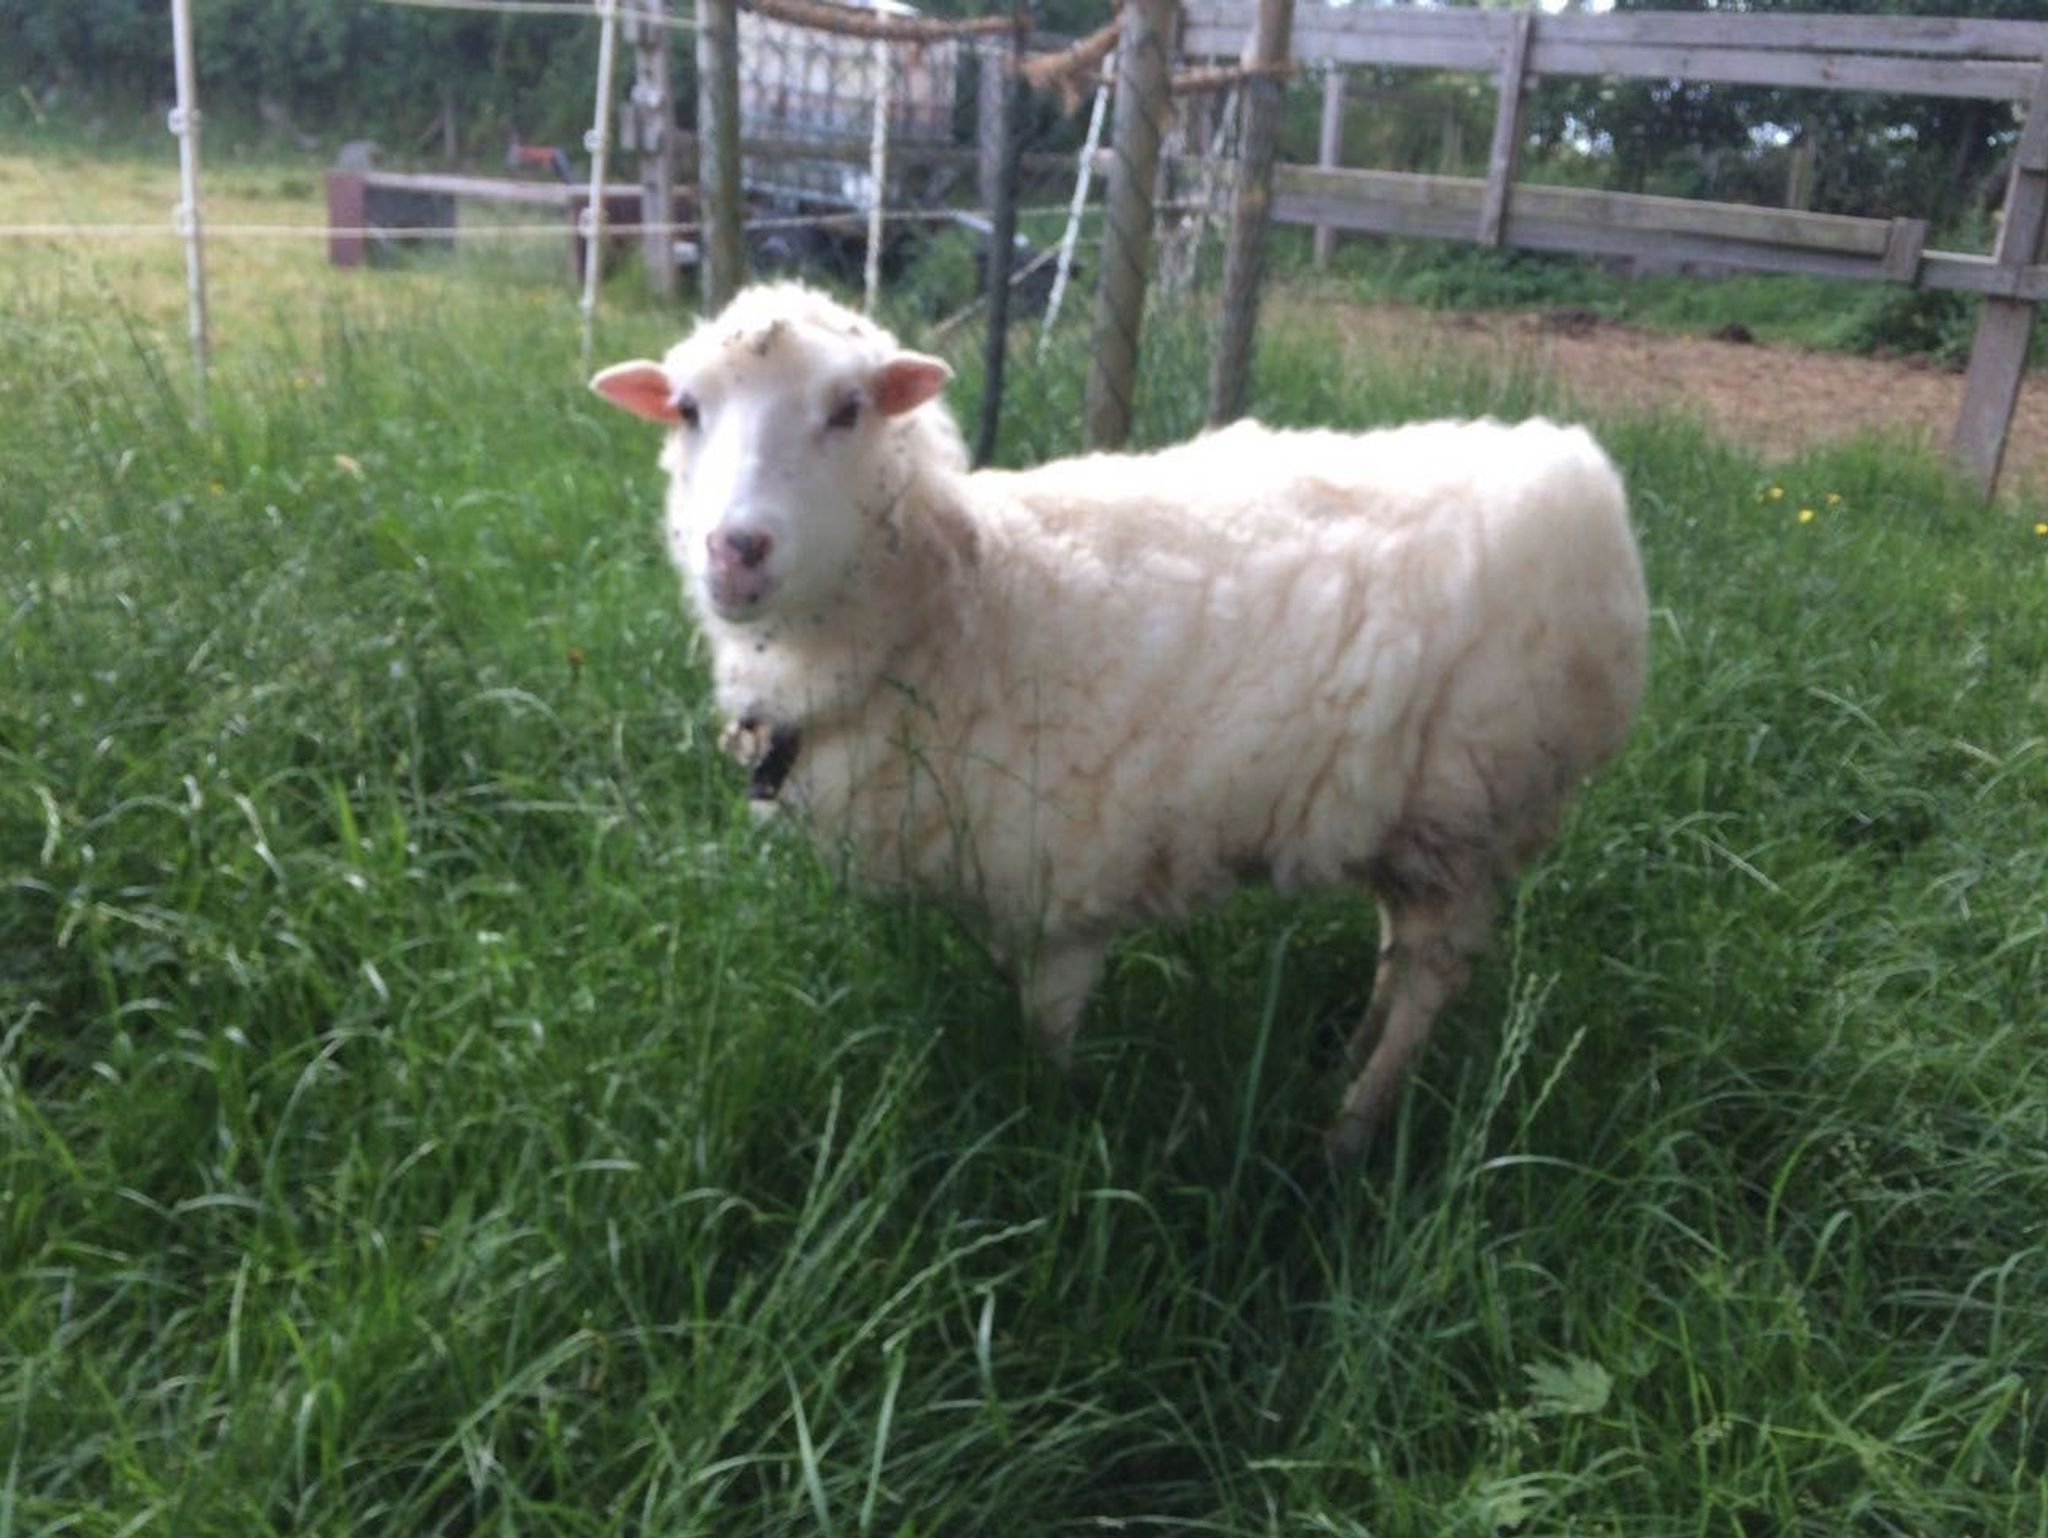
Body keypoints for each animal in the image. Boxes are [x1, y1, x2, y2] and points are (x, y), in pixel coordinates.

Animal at [589, 282, 1646, 1163]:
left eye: (848, 409)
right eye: (687, 409)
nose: (735, 550)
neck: (958, 599)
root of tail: (1580, 478)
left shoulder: (1062, 889)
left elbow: (1046, 1039)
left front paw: (1057, 1133)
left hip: (1467, 801)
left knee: (1435, 970)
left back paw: (1349, 1129)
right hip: (1406, 814)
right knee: (1399, 943)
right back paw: (1346, 1062)